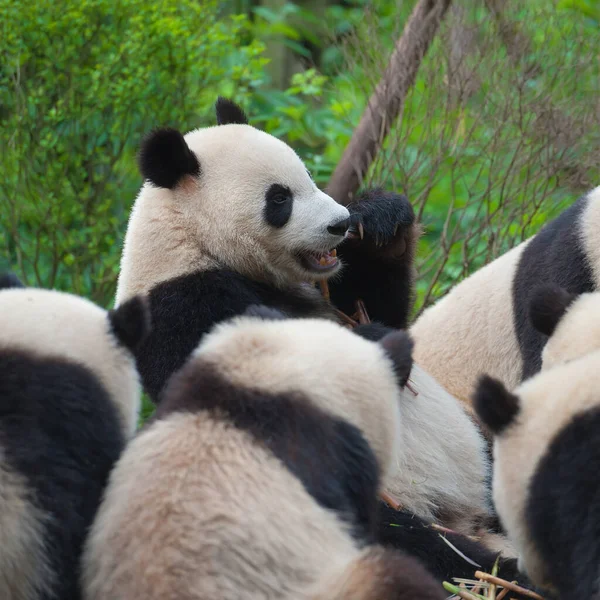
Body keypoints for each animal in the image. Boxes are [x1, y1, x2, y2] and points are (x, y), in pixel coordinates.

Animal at [115, 97, 420, 404]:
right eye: (279, 198)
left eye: (308, 176)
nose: (340, 224)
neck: (191, 239)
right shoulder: (182, 307)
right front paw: (373, 342)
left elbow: (378, 306)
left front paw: (380, 219)